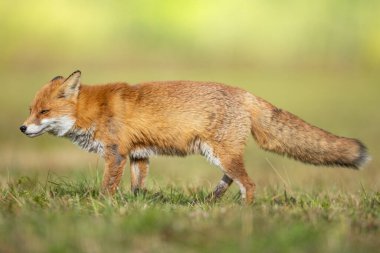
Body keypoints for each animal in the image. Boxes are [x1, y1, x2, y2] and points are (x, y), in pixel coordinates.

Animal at [19, 70, 370, 203]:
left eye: (44, 112)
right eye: (30, 109)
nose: (22, 128)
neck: (94, 109)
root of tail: (245, 93)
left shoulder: (115, 153)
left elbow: (107, 187)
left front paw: (103, 206)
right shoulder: (139, 155)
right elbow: (137, 186)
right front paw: (135, 204)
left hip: (221, 152)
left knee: (249, 184)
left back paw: (244, 213)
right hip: (217, 154)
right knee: (232, 179)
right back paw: (213, 201)